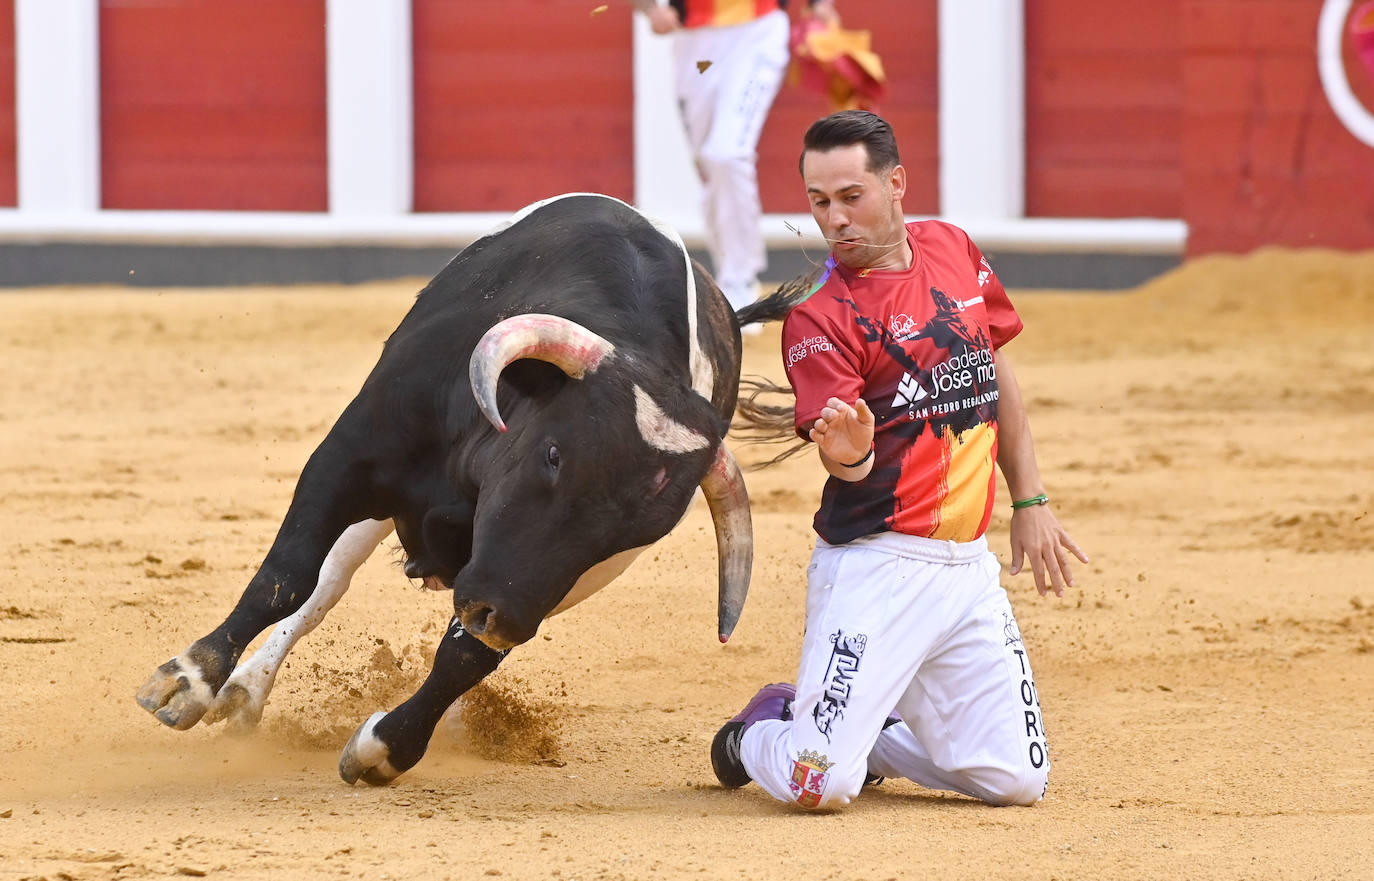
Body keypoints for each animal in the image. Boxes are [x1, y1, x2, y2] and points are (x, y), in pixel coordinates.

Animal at [135, 193, 791, 780]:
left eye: (640, 529)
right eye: (554, 455)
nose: (499, 615)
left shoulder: (545, 582)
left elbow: (465, 654)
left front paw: (385, 749)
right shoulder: (350, 457)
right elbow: (288, 575)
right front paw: (188, 681)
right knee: (329, 582)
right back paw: (245, 693)